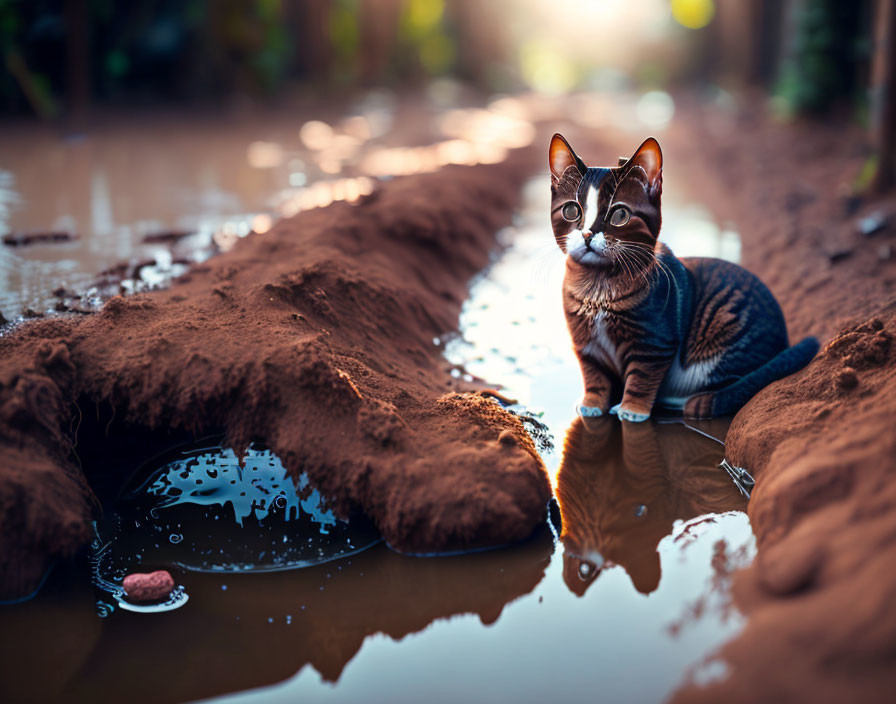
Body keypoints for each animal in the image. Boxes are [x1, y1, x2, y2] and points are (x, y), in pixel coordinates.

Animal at [544, 133, 820, 420]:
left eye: (619, 215)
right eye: (571, 211)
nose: (587, 234)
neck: (597, 286)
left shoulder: (655, 345)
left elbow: (641, 379)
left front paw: (632, 409)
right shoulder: (585, 344)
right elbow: (594, 376)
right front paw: (592, 403)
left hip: (727, 337)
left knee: (733, 385)